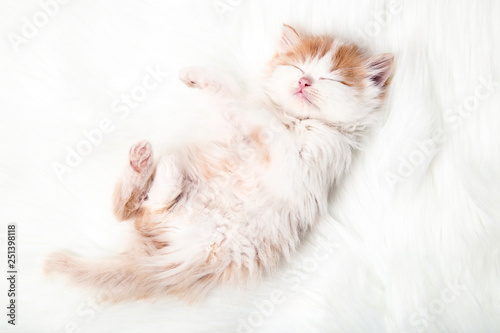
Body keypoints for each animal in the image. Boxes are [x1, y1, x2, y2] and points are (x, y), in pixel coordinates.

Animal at [45, 24, 392, 300]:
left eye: (332, 79)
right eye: (297, 66)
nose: (305, 81)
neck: (293, 119)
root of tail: (173, 260)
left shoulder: (302, 170)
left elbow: (265, 124)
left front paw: (251, 110)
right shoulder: (232, 134)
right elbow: (231, 100)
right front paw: (202, 79)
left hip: (211, 239)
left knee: (142, 211)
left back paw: (161, 173)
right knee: (128, 210)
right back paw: (143, 166)